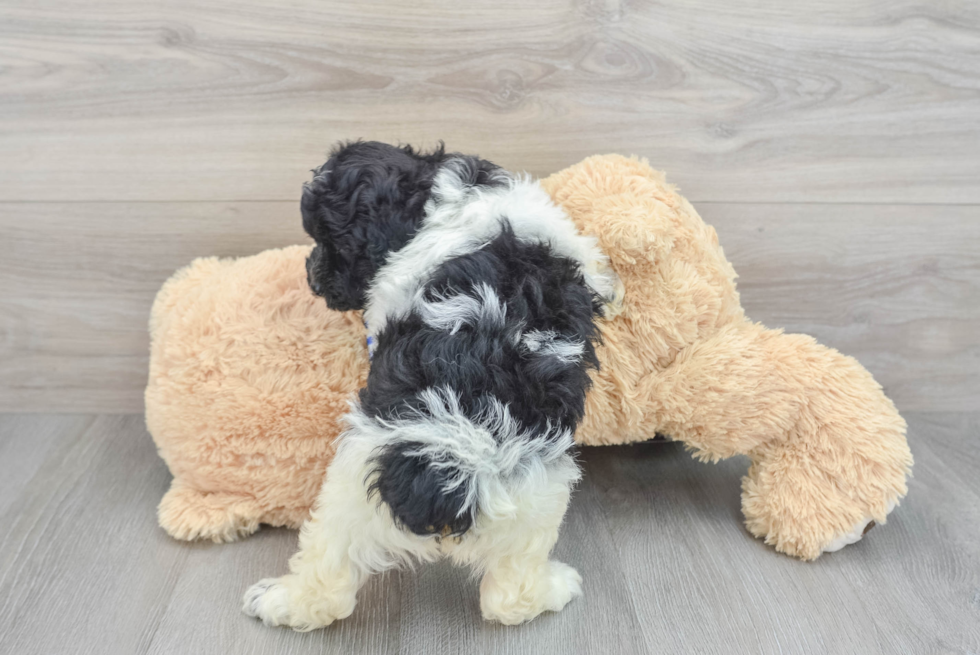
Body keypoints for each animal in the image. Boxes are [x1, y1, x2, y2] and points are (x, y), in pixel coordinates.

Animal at [241, 142, 616, 632]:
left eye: (331, 240)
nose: (313, 279)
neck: (441, 195)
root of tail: (454, 462)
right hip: (537, 497)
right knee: (510, 594)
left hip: (353, 490)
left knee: (327, 576)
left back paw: (279, 601)